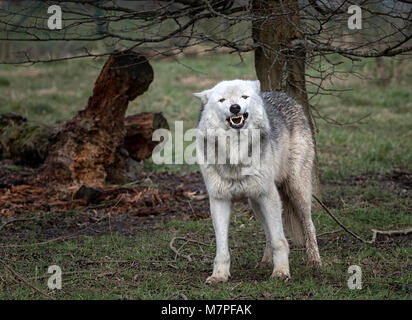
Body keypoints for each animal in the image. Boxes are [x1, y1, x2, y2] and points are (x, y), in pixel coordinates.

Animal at [193, 79, 322, 284]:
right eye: (222, 100)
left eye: (244, 96)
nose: (235, 107)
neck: (236, 154)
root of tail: (283, 94)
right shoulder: (219, 200)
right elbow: (221, 247)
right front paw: (219, 275)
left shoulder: (268, 194)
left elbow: (279, 240)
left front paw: (281, 272)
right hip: (255, 202)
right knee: (268, 231)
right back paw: (266, 262)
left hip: (296, 190)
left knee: (309, 225)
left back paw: (314, 261)